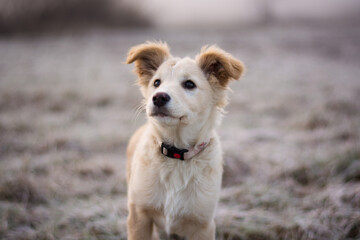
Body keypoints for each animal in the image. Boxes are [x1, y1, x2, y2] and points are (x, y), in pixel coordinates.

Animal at [124, 42, 245, 239]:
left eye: (189, 84)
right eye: (156, 82)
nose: (158, 97)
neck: (177, 154)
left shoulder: (203, 225)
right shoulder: (139, 215)